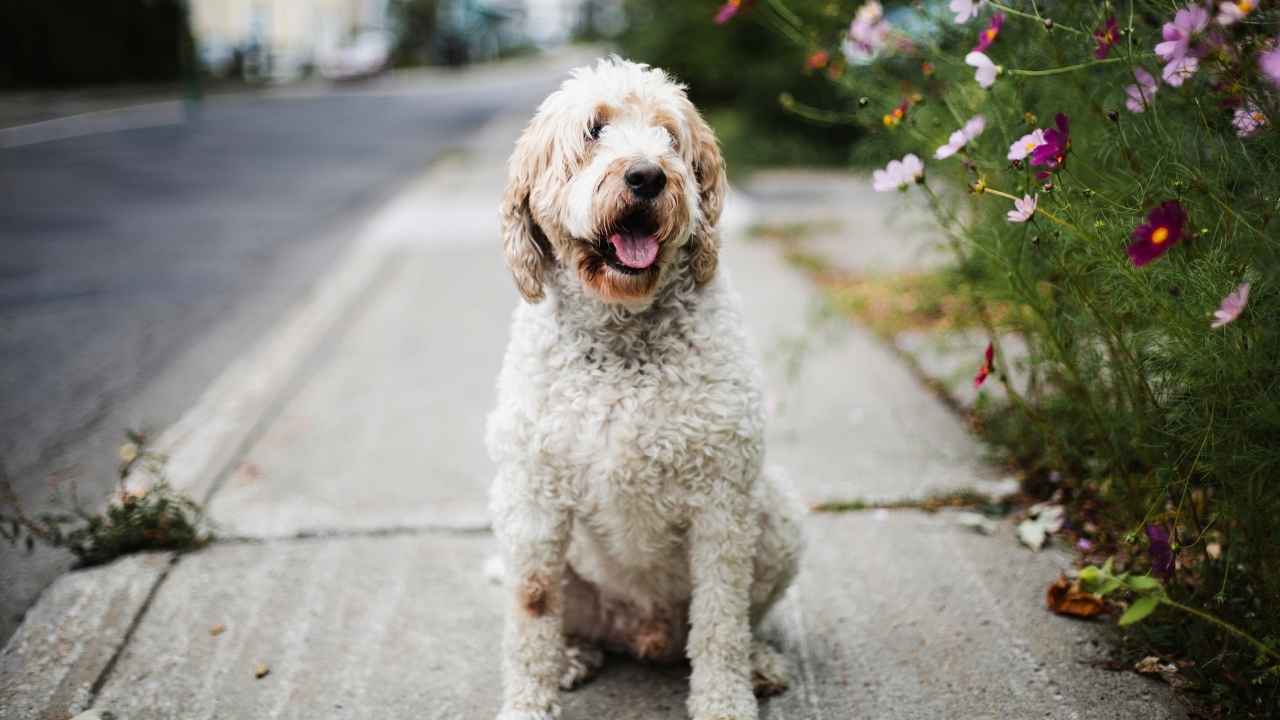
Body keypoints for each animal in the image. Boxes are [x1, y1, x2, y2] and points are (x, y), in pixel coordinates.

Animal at [483, 58, 803, 717]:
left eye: (669, 136)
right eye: (593, 129)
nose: (647, 175)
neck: (621, 334)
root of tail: (644, 631)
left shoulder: (722, 503)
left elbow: (721, 619)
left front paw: (725, 701)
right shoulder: (531, 500)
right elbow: (532, 610)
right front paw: (529, 701)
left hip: (778, 515)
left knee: (743, 618)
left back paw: (758, 661)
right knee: (568, 621)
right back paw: (572, 656)